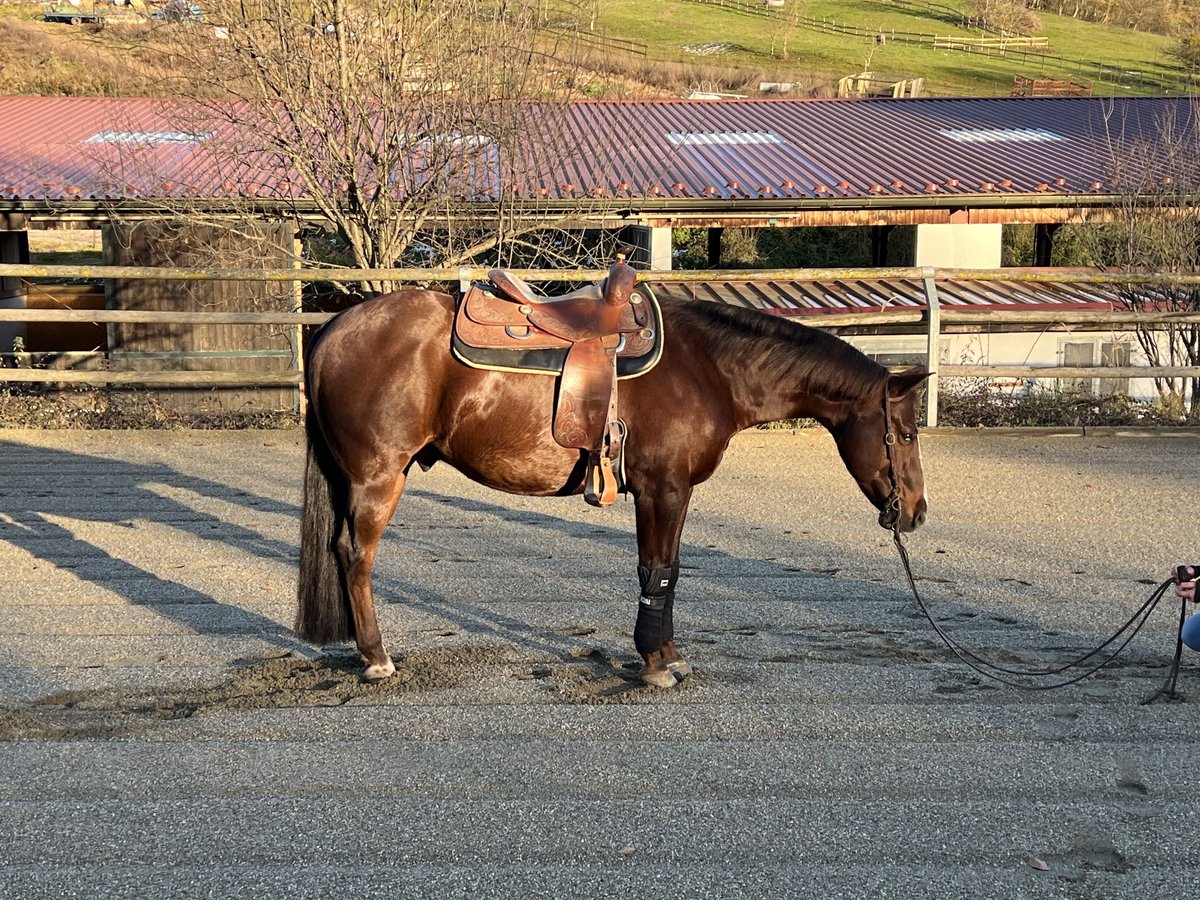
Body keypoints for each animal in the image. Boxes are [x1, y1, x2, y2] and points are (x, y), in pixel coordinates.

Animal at [295, 271, 931, 686]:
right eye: (904, 433)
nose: (917, 512)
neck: (708, 370)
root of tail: (333, 329)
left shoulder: (675, 491)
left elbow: (669, 571)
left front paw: (668, 656)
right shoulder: (661, 490)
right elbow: (655, 569)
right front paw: (654, 665)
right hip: (378, 477)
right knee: (354, 554)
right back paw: (376, 658)